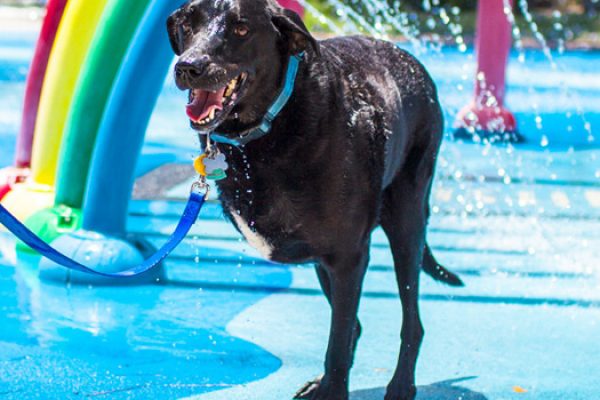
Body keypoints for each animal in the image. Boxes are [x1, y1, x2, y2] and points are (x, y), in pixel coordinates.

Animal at [166, 1, 462, 398]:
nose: (188, 66)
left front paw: (335, 389)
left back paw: (401, 384)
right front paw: (327, 384)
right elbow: (343, 331)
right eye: (188, 24)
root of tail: (410, 60)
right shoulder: (331, 258)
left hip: (407, 223)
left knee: (409, 321)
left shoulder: (350, 257)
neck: (272, 125)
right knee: (355, 325)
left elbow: (338, 343)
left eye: (242, 29)